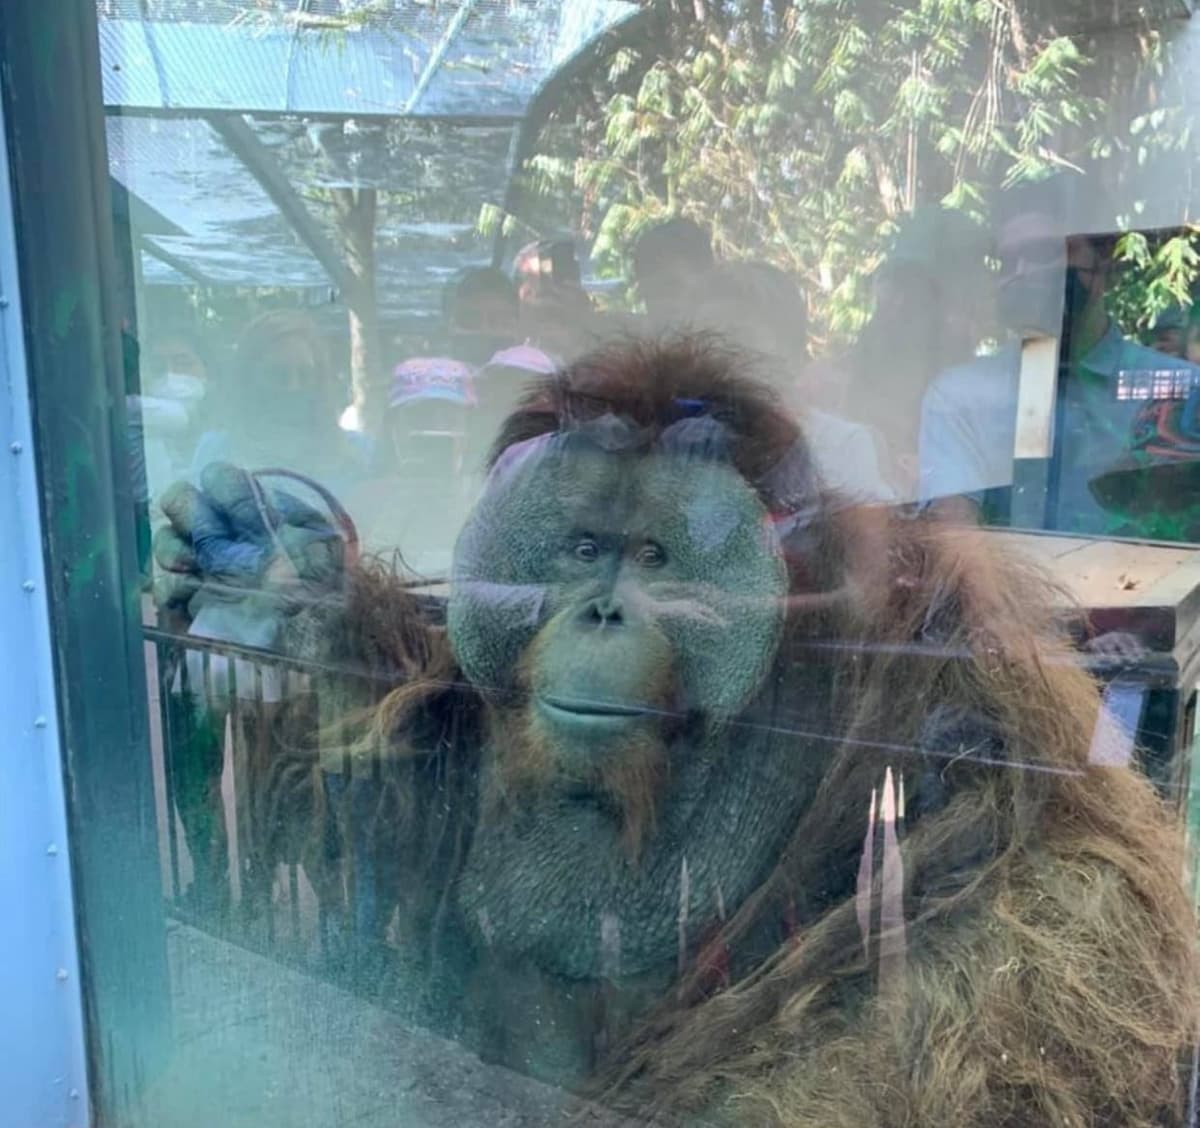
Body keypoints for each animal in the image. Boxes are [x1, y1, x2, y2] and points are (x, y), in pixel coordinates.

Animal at [154, 333, 1199, 1126]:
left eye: (656, 558)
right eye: (583, 548)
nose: (603, 613)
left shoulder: (944, 679)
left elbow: (1029, 902)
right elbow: (384, 813)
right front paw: (263, 577)